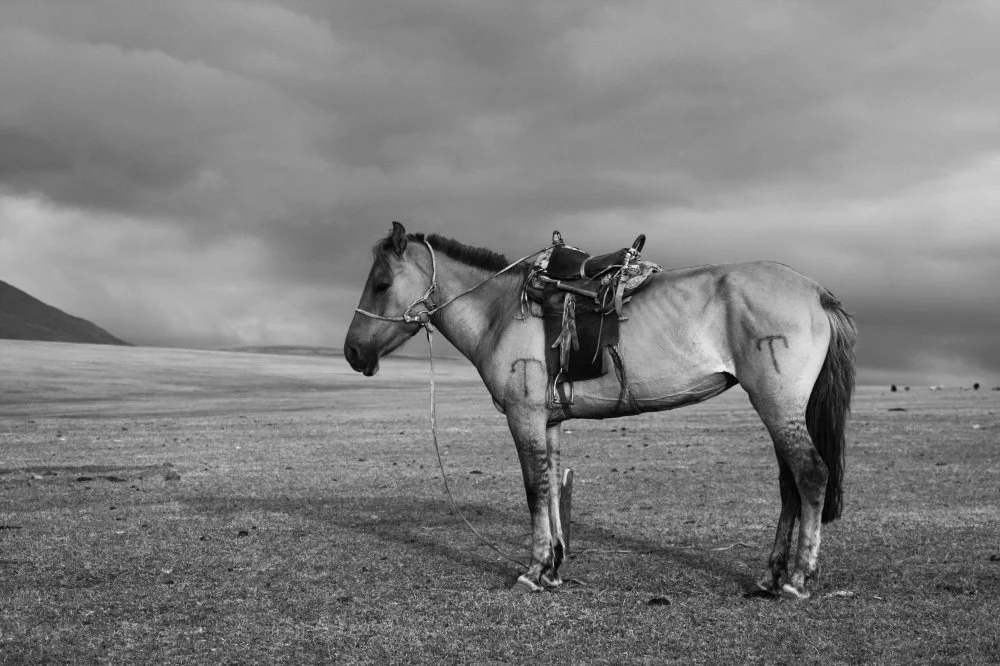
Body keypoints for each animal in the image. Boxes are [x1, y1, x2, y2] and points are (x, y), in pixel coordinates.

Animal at [342, 219, 852, 596]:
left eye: (382, 283)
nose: (352, 352)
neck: (499, 313)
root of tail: (816, 291)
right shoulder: (548, 421)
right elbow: (551, 487)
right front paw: (553, 567)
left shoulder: (524, 417)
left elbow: (533, 490)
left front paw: (533, 571)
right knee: (789, 483)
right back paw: (770, 576)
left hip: (777, 402)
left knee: (810, 474)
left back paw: (798, 579)